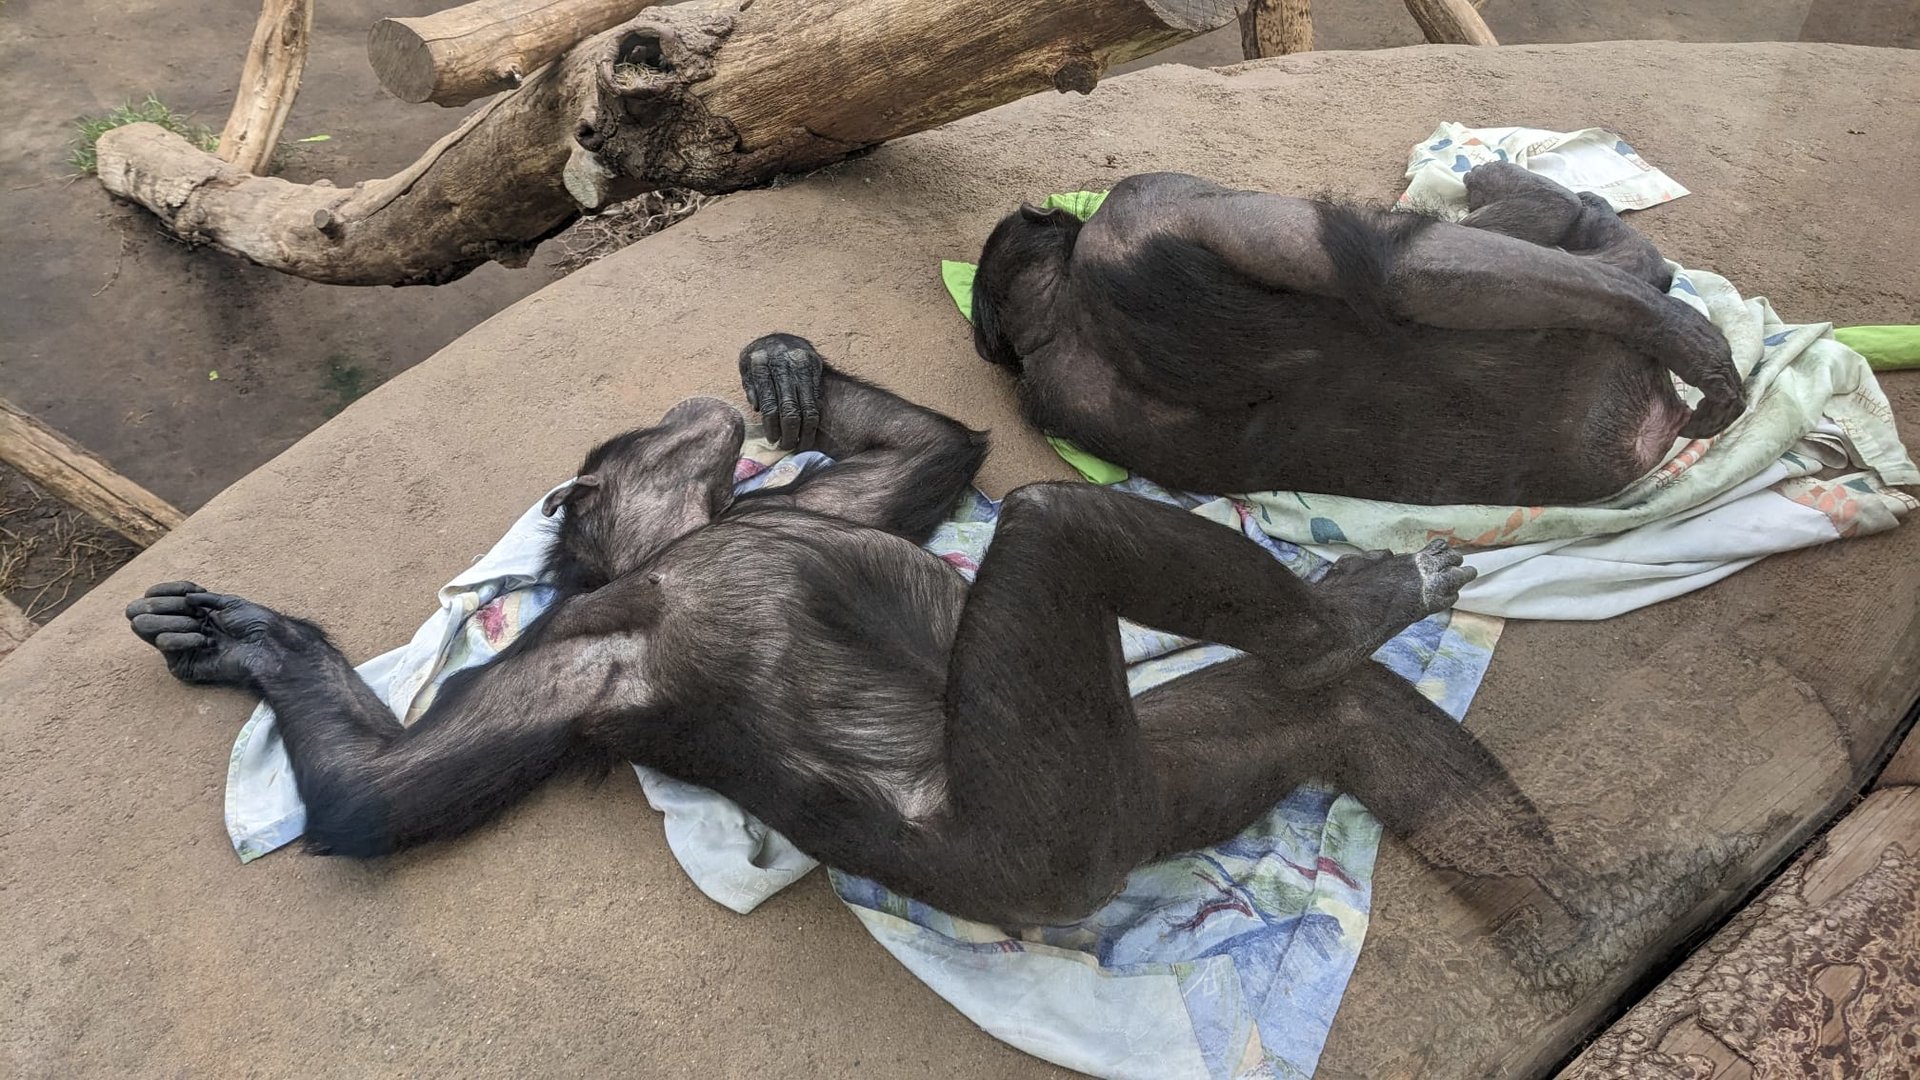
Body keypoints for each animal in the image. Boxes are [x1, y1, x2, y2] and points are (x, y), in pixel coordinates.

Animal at [128, 333, 1576, 933]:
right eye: (611, 451)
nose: (672, 418)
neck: (690, 548)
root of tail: (1118, 867)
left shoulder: (808, 504)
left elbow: (926, 460)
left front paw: (788, 368)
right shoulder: (588, 641)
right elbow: (382, 792)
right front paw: (267, 649)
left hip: (1180, 764)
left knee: (1333, 714)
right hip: (1063, 811)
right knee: (1062, 525)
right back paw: (1362, 611)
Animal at [967, 163, 1746, 507]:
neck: (1055, 309)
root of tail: (1650, 426)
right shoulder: (1153, 198)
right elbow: (1400, 271)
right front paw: (1699, 345)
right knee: (1606, 265)